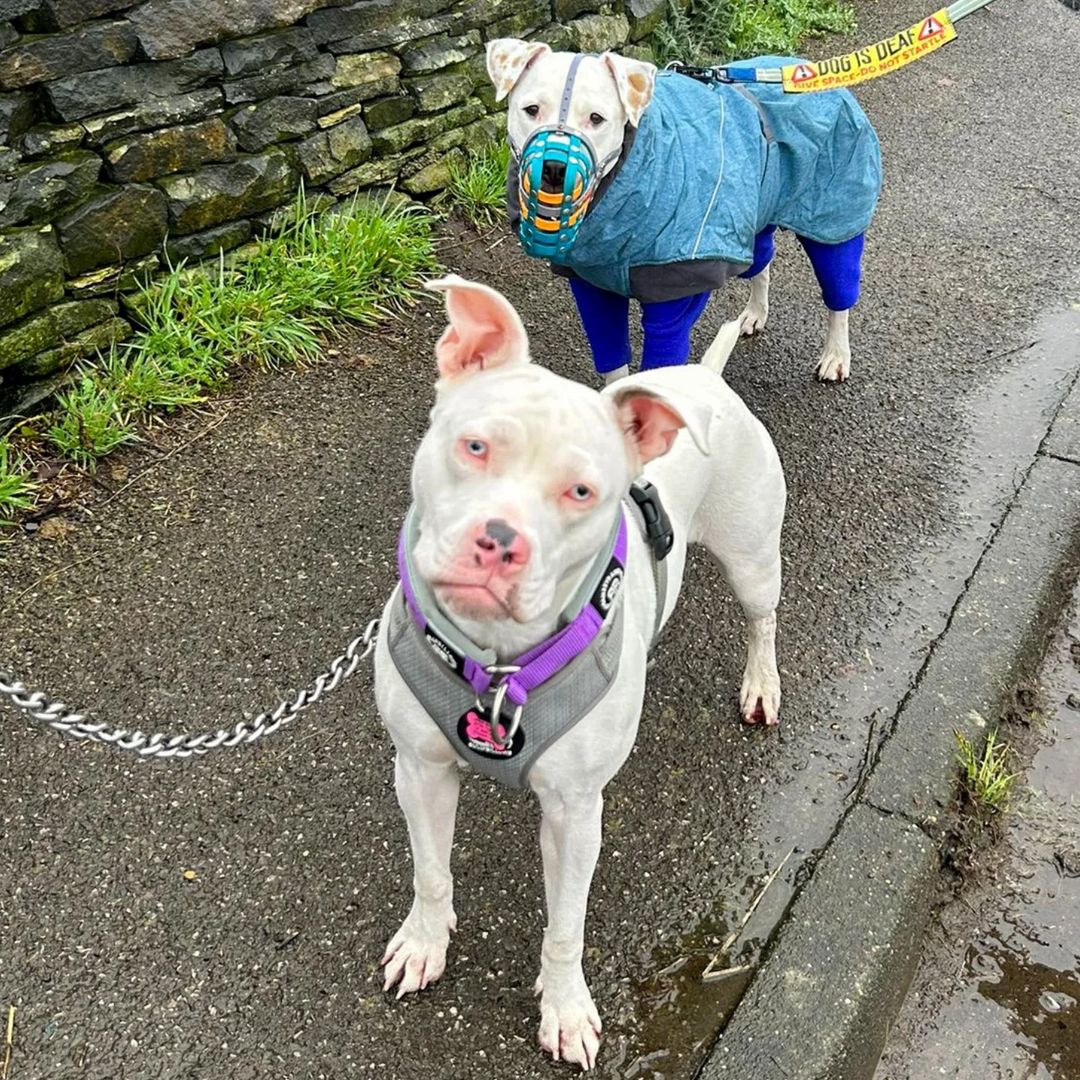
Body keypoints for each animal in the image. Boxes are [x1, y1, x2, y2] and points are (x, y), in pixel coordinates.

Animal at [371, 274, 786, 1067]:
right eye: (474, 446)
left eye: (582, 493)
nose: (499, 541)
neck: (498, 661)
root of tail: (704, 378)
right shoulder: (420, 768)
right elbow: (431, 871)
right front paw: (424, 942)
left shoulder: (574, 812)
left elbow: (565, 926)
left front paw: (564, 1009)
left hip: (754, 560)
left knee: (762, 621)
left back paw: (761, 684)